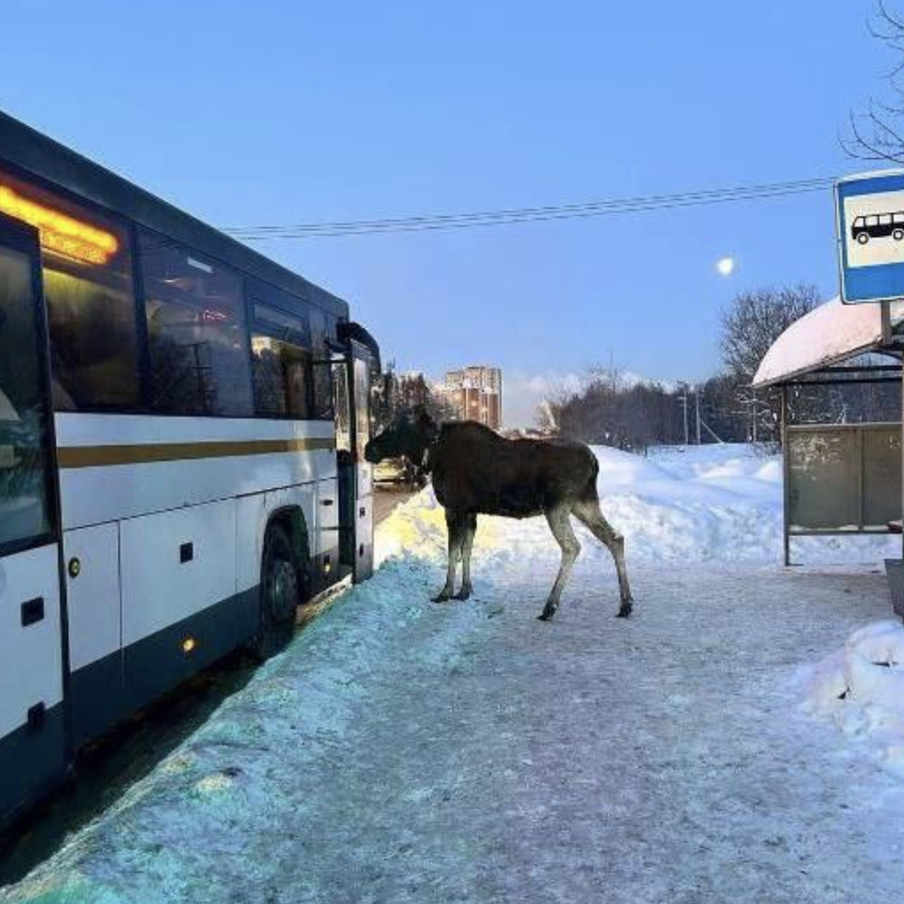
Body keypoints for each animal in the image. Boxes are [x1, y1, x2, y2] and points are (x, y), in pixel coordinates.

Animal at [365, 413, 633, 621]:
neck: (432, 455)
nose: (368, 449)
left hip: (557, 506)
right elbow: (466, 550)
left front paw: (445, 592)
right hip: (583, 503)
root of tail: (594, 462)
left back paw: (550, 607)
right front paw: (465, 591)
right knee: (615, 538)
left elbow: (452, 552)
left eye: (393, 427)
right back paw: (626, 604)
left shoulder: (454, 508)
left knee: (572, 547)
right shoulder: (470, 511)